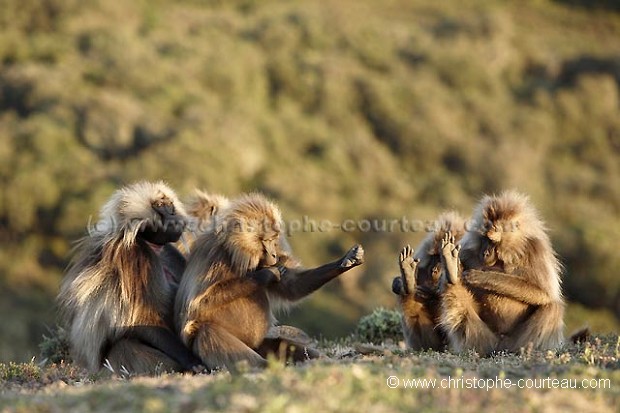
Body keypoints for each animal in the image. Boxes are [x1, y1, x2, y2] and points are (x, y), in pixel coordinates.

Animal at [57, 180, 202, 374]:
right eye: (160, 206)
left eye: (169, 204)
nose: (174, 216)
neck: (151, 245)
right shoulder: (135, 257)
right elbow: (142, 318)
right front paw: (192, 361)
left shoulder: (168, 251)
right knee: (125, 346)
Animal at [174, 192, 366, 370]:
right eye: (267, 240)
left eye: (274, 240)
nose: (274, 255)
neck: (234, 253)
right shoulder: (213, 257)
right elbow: (198, 304)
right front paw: (267, 275)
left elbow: (293, 286)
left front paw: (348, 260)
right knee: (207, 332)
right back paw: (264, 366)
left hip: (262, 343)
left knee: (285, 345)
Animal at [438, 190, 564, 354]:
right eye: (484, 237)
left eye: (493, 240)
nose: (485, 253)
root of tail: (499, 347)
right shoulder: (466, 252)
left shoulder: (535, 250)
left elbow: (543, 293)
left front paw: (482, 277)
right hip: (483, 338)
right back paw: (451, 268)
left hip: (514, 341)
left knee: (552, 307)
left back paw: (524, 351)